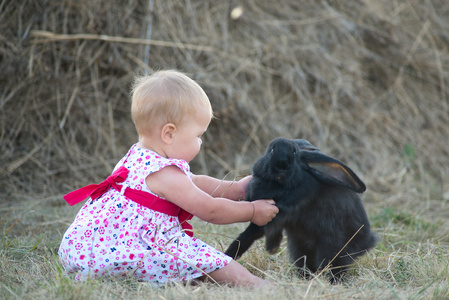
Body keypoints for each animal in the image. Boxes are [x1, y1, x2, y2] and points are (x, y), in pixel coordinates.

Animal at [226, 137, 376, 282]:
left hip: (331, 247)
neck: (279, 185)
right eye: (272, 150)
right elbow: (247, 236)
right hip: (299, 248)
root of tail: (367, 242)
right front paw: (231, 253)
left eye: (294, 152)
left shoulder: (287, 209)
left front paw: (271, 247)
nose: (282, 165)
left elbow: (266, 229)